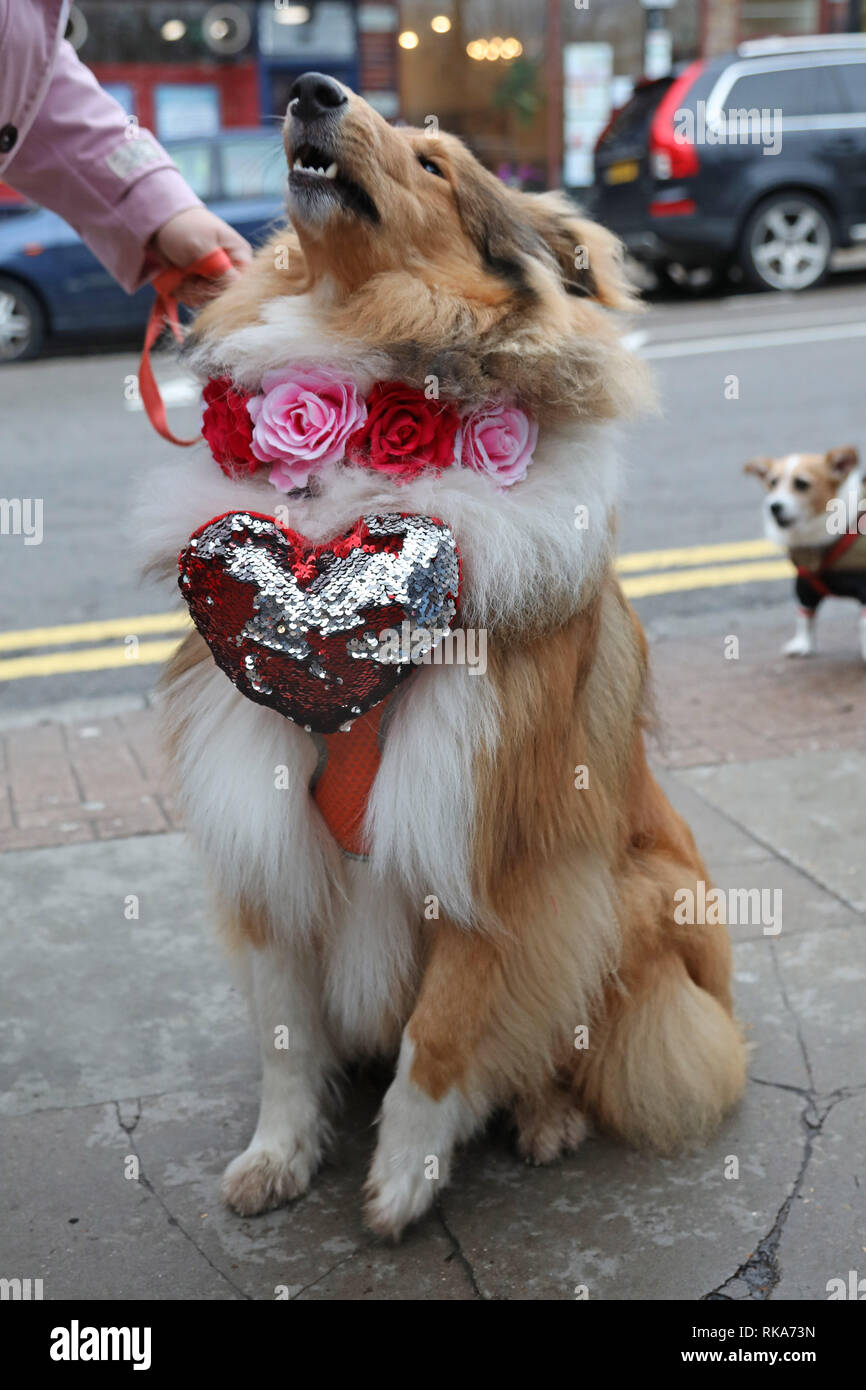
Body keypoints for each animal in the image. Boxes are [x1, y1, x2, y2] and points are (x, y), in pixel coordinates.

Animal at [140, 73, 745, 1239]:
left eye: (435, 165)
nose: (310, 89)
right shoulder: (265, 832)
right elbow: (287, 1044)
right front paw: (278, 1157)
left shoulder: (493, 851)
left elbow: (445, 1033)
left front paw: (402, 1180)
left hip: (631, 893)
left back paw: (546, 1117)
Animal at [745, 444, 866, 661]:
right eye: (773, 482)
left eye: (801, 484)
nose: (773, 506)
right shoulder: (804, 583)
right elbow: (804, 616)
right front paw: (802, 644)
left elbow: (863, 624)